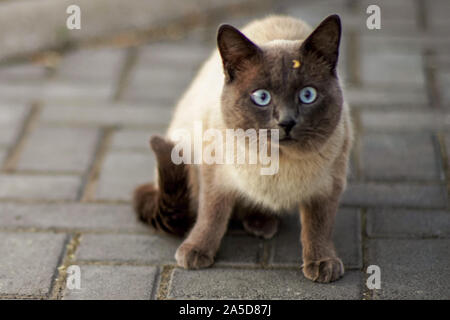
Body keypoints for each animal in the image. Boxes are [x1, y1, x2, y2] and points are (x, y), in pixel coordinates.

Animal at [134, 14, 356, 282]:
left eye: (307, 95)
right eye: (261, 97)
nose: (287, 122)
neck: (278, 161)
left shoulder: (329, 186)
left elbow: (319, 227)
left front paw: (323, 263)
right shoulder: (214, 173)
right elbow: (211, 214)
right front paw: (196, 252)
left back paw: (262, 223)